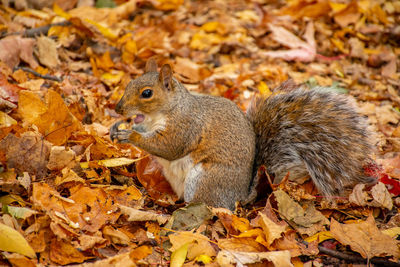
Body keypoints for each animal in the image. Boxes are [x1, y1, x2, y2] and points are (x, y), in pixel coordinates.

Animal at [109, 59, 376, 213]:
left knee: (211, 206)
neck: (163, 113)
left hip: (207, 178)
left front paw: (129, 135)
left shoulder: (187, 126)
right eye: (129, 83)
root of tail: (242, 195)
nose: (118, 108)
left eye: (147, 93)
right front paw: (116, 126)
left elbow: (170, 146)